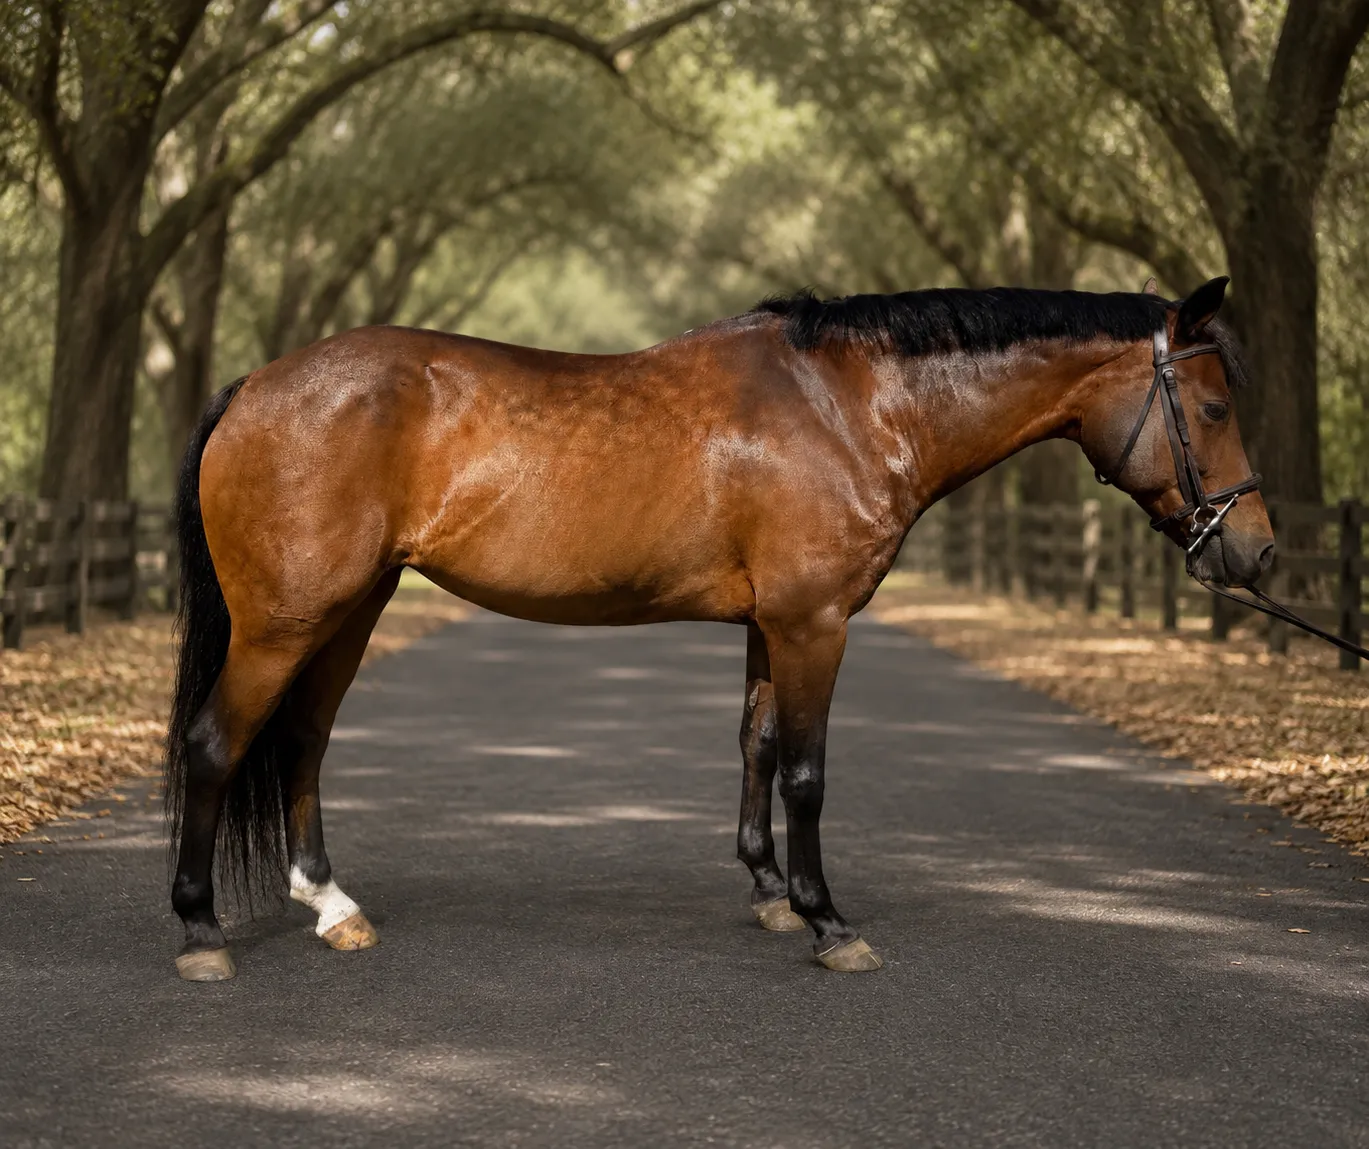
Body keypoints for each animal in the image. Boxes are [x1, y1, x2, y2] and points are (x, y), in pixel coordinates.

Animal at [165, 275, 1273, 981]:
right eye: (1214, 406)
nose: (1253, 554)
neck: (849, 406)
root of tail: (255, 385)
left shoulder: (769, 622)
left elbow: (756, 744)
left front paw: (770, 891)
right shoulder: (813, 621)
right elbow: (807, 771)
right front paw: (828, 921)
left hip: (349, 611)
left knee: (302, 741)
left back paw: (332, 907)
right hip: (284, 622)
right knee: (217, 743)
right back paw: (200, 931)